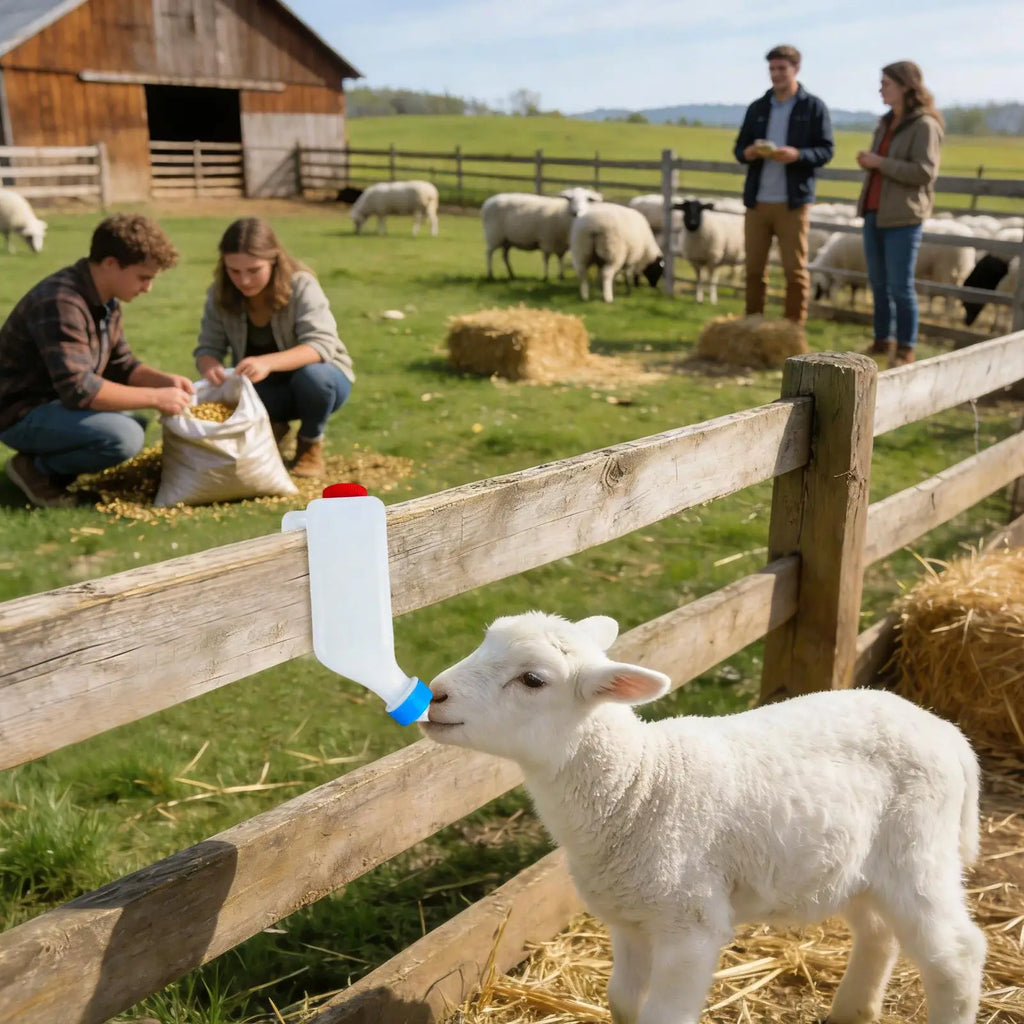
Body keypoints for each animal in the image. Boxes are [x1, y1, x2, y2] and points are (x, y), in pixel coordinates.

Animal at [423, 611, 986, 1024]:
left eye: (532, 680)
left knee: (957, 956)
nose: (434, 693)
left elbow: (661, 1016)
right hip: (858, 867)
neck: (639, 786)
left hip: (918, 851)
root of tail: (949, 733)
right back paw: (852, 1011)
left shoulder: (689, 925)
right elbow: (623, 1003)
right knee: (879, 933)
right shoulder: (630, 920)